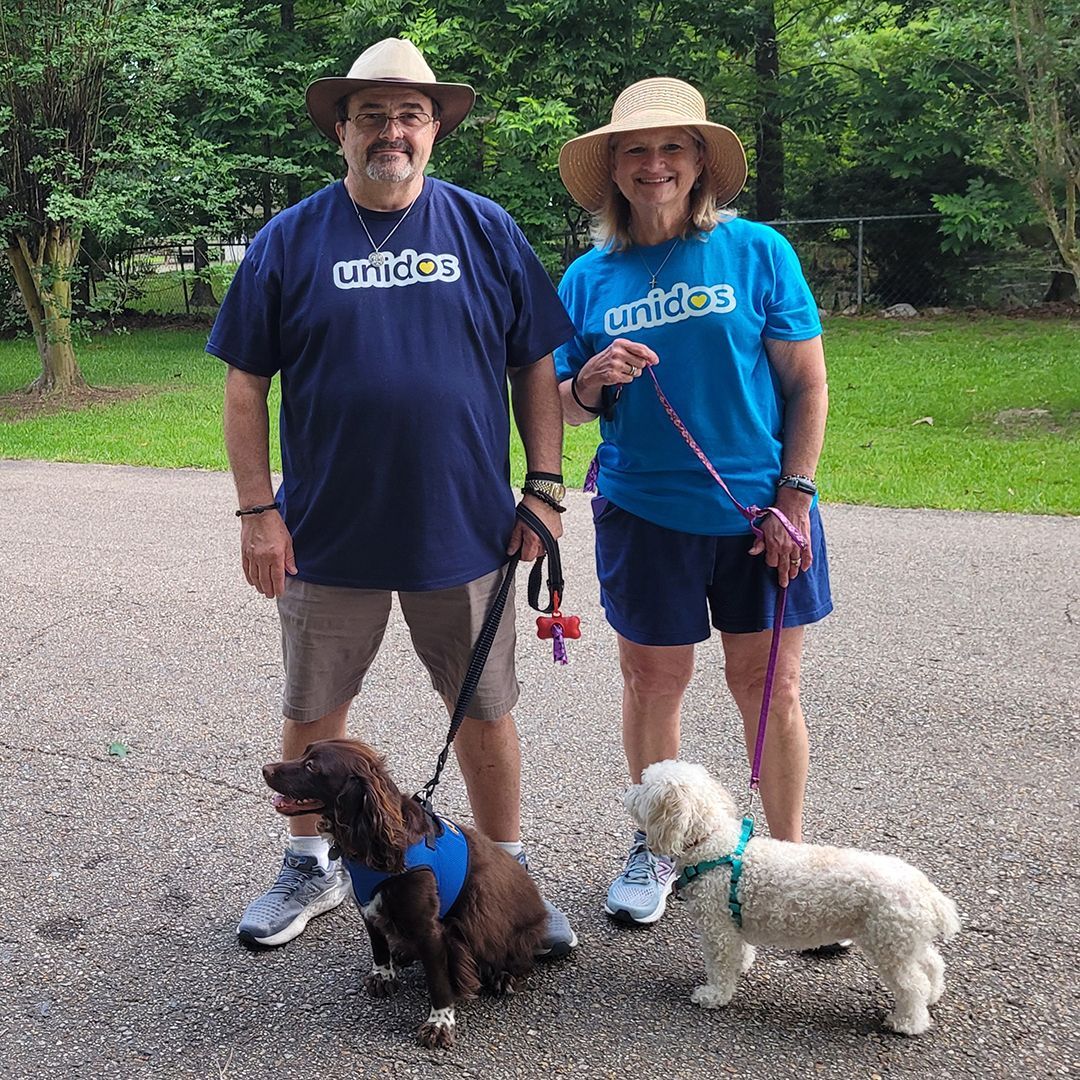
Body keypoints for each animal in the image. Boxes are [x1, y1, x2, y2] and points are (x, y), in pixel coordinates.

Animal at [262, 738, 548, 1049]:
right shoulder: (368, 906)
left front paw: (439, 1024)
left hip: (490, 919)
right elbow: (378, 946)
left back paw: (502, 976)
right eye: (304, 752)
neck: (370, 843)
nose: (265, 769)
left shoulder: (430, 929)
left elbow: (438, 981)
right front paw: (383, 975)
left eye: (312, 766)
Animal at [626, 756, 963, 1032]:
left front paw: (714, 995)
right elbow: (740, 951)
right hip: (904, 940)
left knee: (912, 985)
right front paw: (742, 966)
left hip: (888, 943)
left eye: (644, 785)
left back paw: (908, 1022)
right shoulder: (733, 924)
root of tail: (928, 894)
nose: (626, 793)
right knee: (933, 964)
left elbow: (720, 967)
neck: (712, 844)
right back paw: (934, 995)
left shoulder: (717, 928)